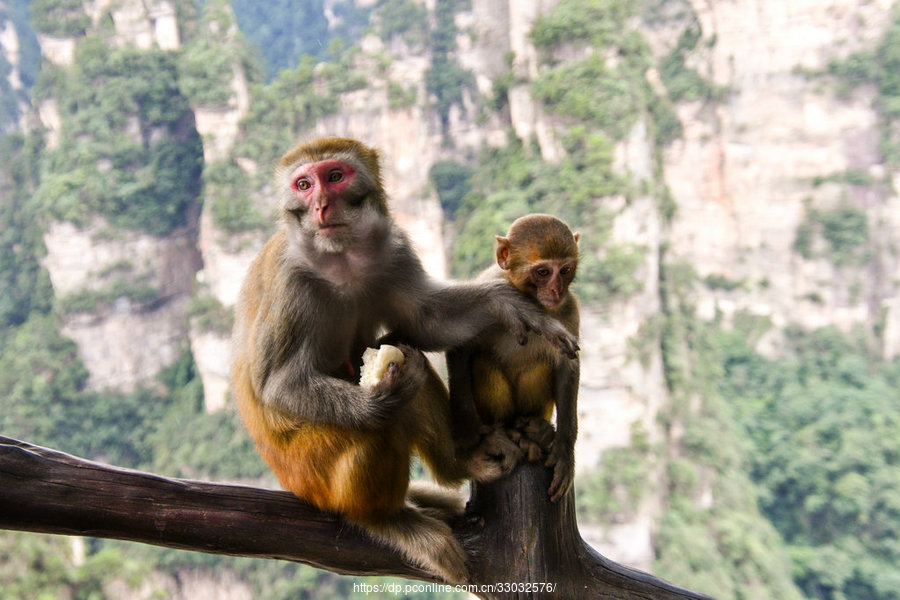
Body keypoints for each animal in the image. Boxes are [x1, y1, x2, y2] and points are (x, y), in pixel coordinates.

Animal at [446, 213, 580, 504]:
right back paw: (508, 432)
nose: (556, 291)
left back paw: (534, 433)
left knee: (539, 365)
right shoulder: (487, 290)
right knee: (484, 361)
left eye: (565, 270)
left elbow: (567, 366)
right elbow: (461, 348)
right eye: (543, 272)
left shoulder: (569, 308)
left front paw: (564, 450)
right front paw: (472, 440)